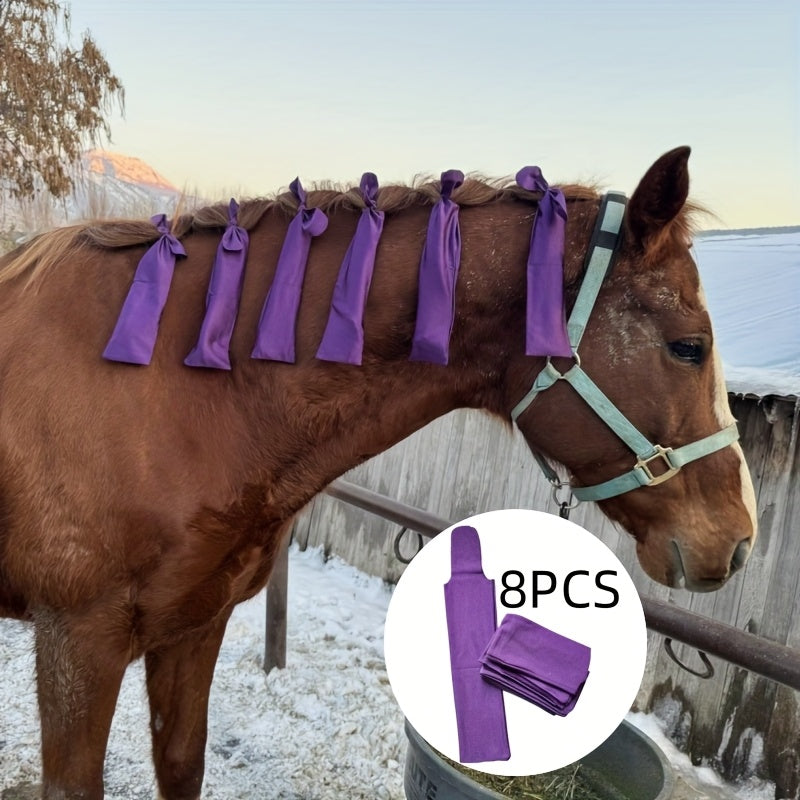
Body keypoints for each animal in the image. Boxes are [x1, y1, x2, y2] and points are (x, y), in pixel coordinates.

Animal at [0, 146, 756, 799]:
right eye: (689, 346)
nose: (739, 538)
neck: (173, 388)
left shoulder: (193, 626)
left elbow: (182, 764)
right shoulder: (79, 644)